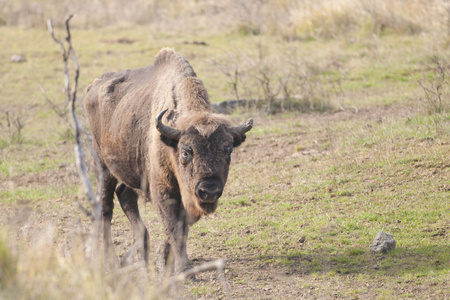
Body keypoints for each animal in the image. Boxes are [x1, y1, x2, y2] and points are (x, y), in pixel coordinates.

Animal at [83, 47, 253, 274]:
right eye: (186, 151)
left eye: (228, 150)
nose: (209, 190)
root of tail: (92, 87)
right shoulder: (164, 189)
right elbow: (173, 226)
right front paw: (183, 269)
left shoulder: (187, 196)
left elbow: (181, 226)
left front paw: (163, 260)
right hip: (103, 167)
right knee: (105, 208)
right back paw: (111, 261)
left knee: (125, 195)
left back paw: (142, 252)